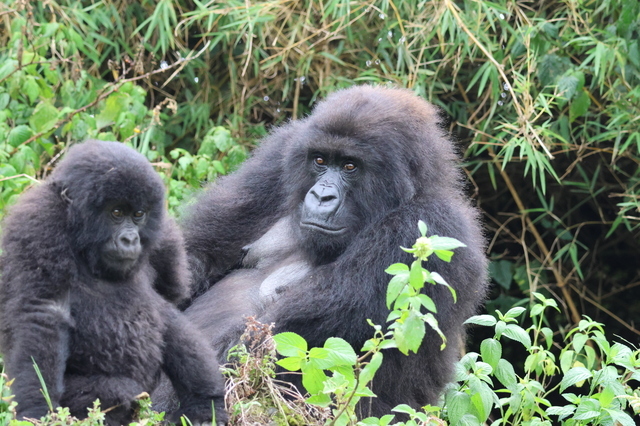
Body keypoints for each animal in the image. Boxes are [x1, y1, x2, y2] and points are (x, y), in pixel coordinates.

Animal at [0, 141, 228, 426]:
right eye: (116, 213)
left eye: (139, 214)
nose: (130, 240)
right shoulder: (39, 223)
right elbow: (42, 312)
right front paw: (36, 410)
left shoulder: (164, 237)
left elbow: (171, 300)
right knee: (120, 389)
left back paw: (204, 406)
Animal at [178, 85, 488, 418]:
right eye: (320, 160)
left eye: (350, 166)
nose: (321, 196)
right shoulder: (279, 156)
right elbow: (198, 253)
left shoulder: (430, 226)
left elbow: (260, 348)